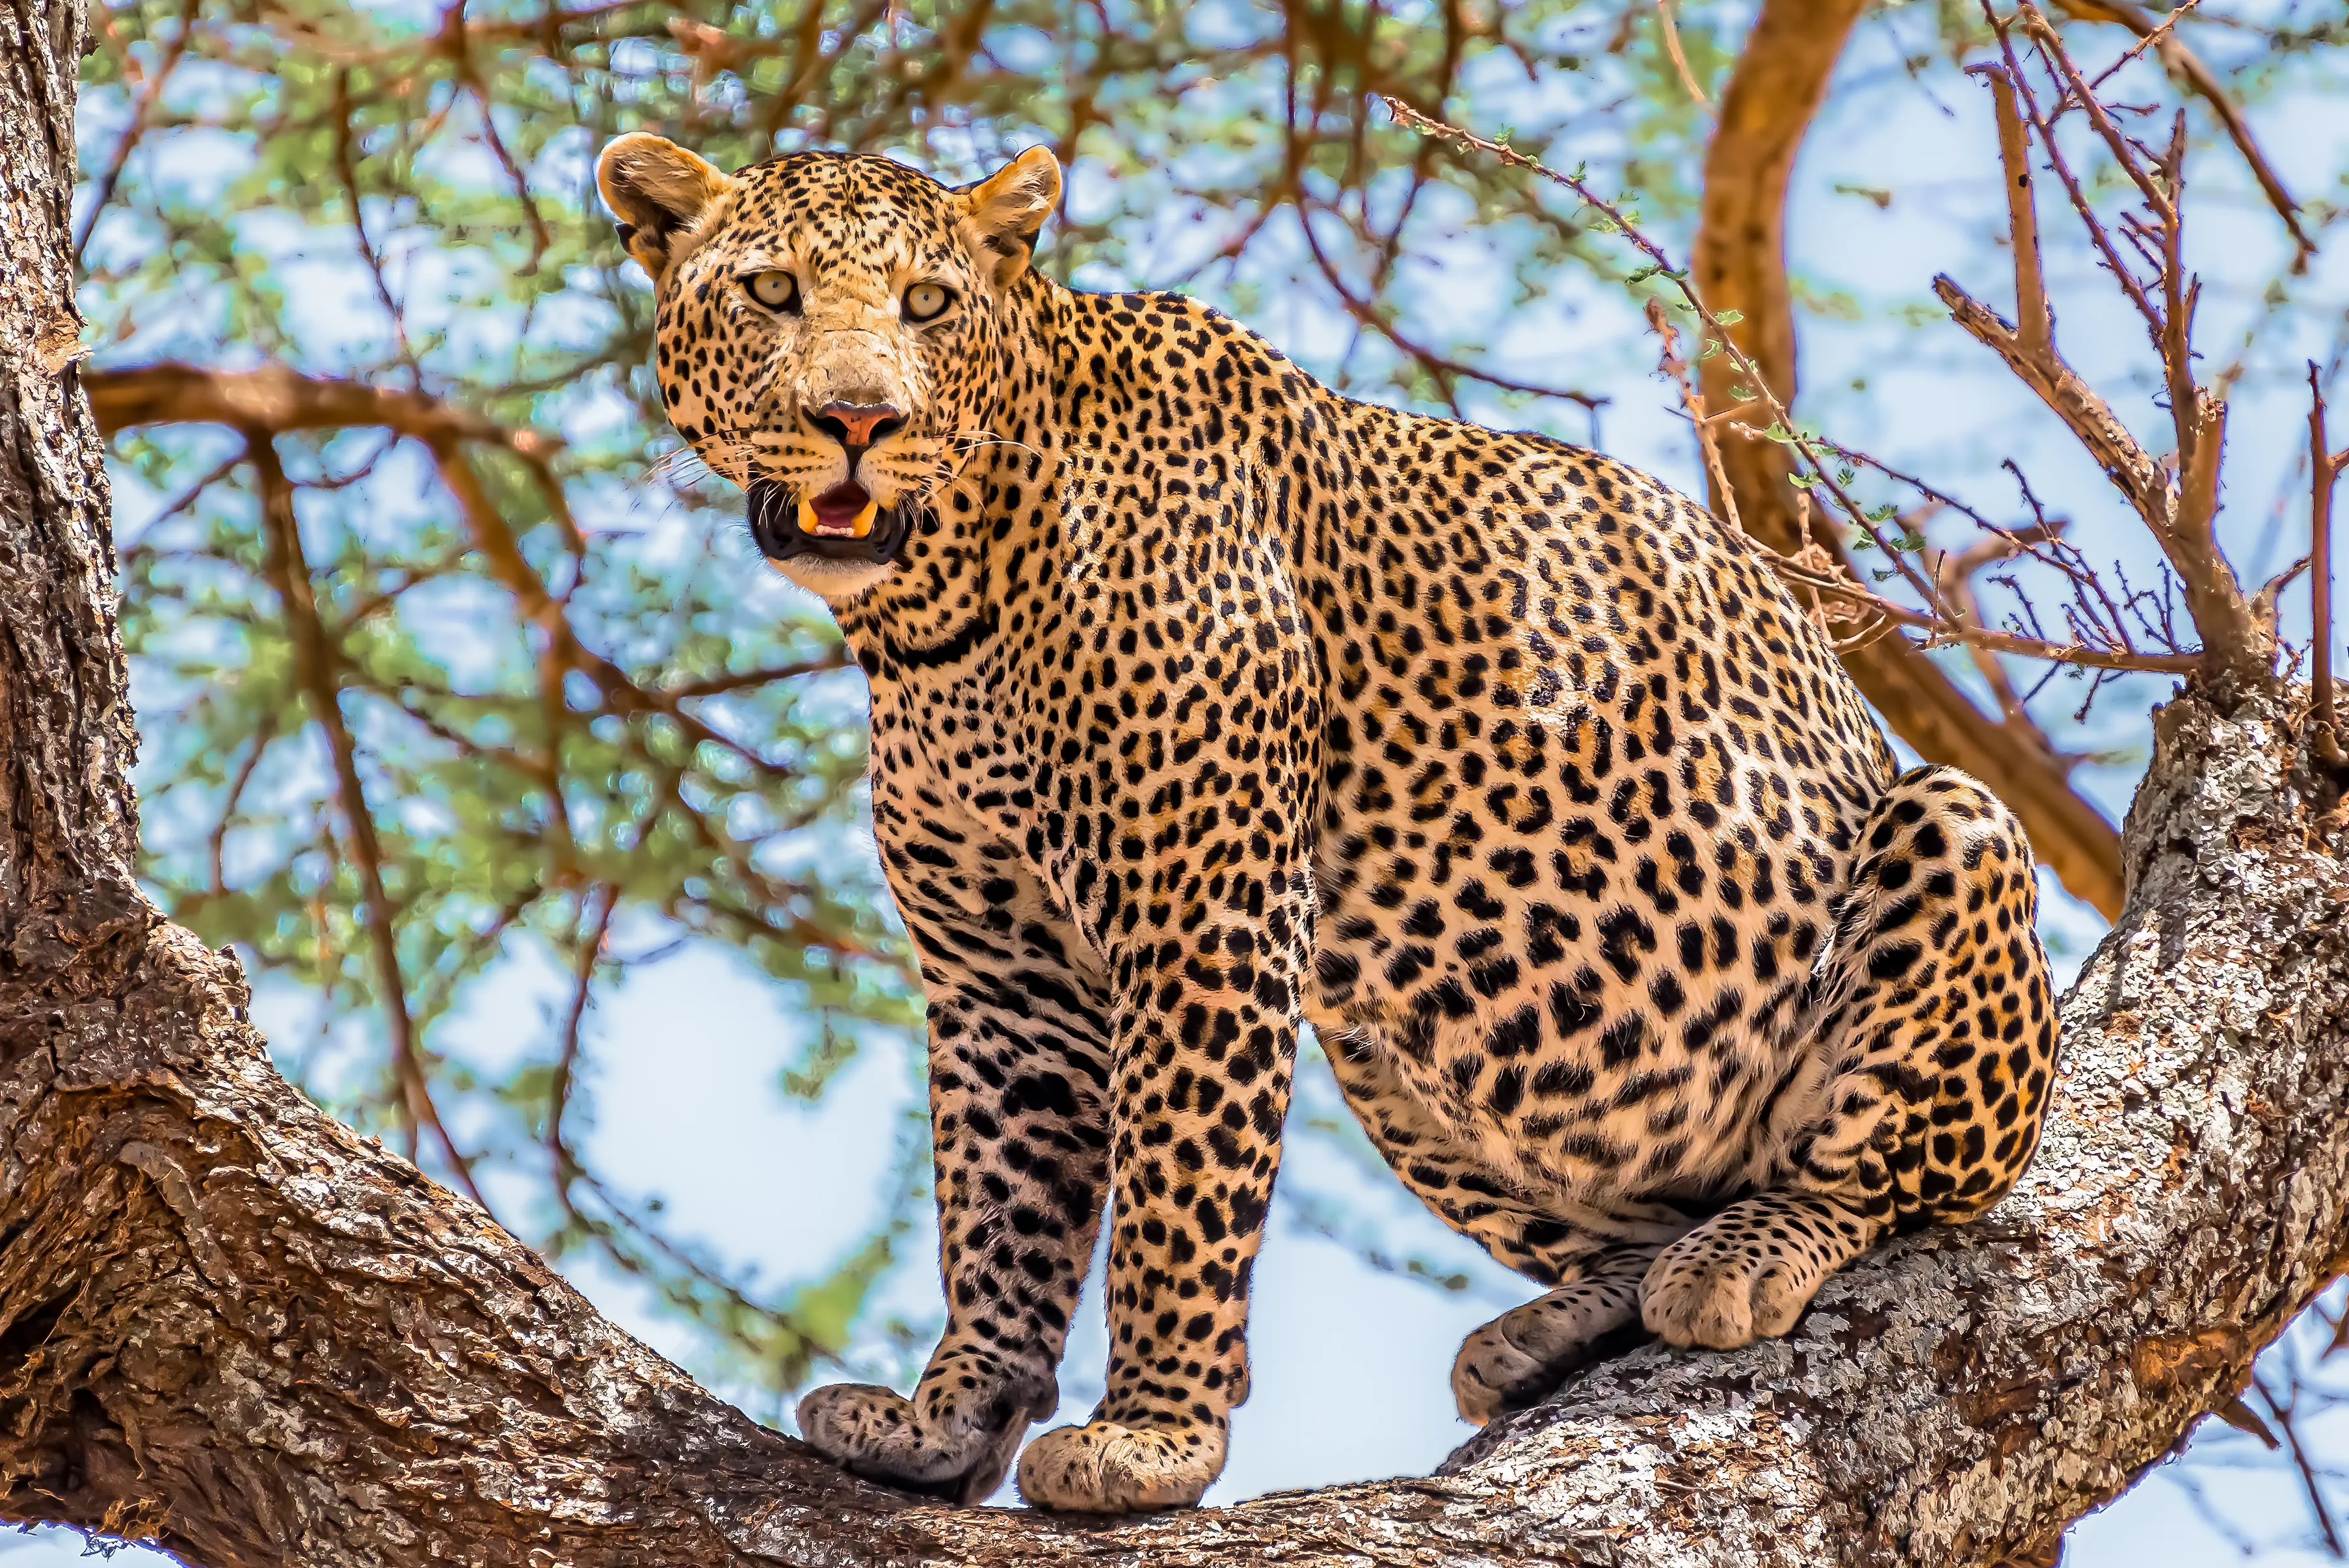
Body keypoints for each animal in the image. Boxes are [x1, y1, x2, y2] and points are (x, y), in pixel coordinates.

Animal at [595, 132, 2060, 1516]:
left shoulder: (1207, 919)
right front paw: (948, 1416)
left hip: (1953, 834)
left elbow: (1176, 1196)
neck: (936, 608)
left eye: (928, 303)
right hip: (1397, 1043)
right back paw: (1556, 1327)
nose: (857, 416)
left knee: (1879, 1177)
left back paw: (1743, 1254)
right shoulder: (1001, 977)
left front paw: (1152, 1441)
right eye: (772, 293)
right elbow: (999, 1205)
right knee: (1627, 1224)